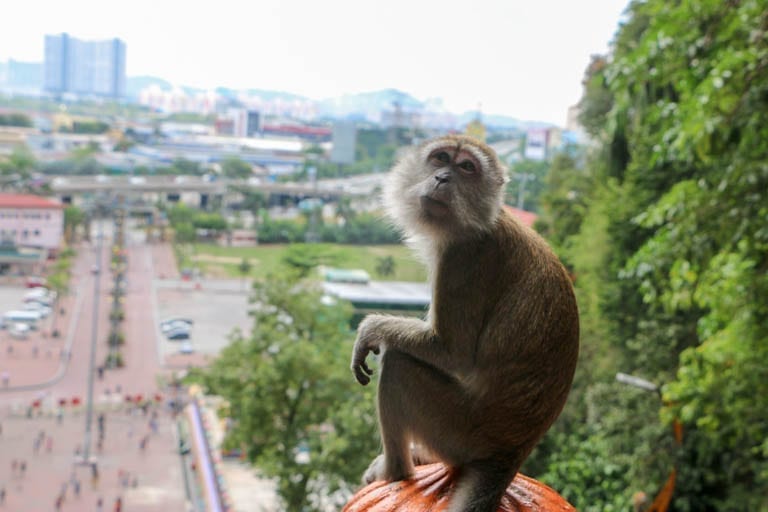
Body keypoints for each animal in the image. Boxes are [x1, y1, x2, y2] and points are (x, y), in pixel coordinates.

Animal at [352, 134, 580, 512]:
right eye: (441, 158)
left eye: (467, 167)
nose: (443, 177)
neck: (483, 220)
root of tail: (511, 454)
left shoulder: (463, 260)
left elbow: (451, 351)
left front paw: (370, 329)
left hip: (459, 432)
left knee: (399, 364)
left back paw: (395, 471)